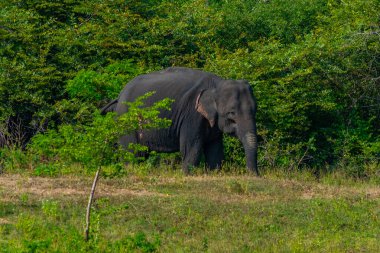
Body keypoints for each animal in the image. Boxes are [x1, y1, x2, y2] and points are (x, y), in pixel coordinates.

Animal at [101, 66, 258, 175]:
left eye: (255, 110)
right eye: (231, 113)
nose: (255, 175)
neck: (217, 84)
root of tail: (119, 96)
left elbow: (215, 150)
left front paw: (214, 173)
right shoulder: (191, 114)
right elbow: (191, 148)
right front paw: (187, 175)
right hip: (125, 120)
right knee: (132, 153)